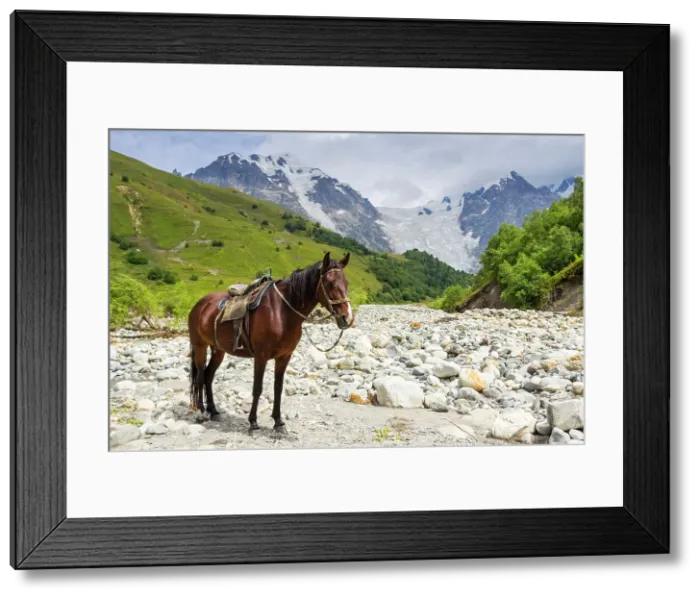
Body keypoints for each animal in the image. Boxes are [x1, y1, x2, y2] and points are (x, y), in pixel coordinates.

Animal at [186, 251, 354, 436]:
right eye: (330, 283)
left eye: (346, 283)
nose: (347, 317)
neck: (282, 311)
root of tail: (200, 304)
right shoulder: (261, 356)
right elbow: (257, 388)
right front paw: (253, 423)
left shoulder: (284, 357)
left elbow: (278, 388)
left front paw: (278, 422)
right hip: (200, 346)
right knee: (200, 376)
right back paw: (201, 412)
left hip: (219, 350)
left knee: (208, 376)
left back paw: (214, 411)